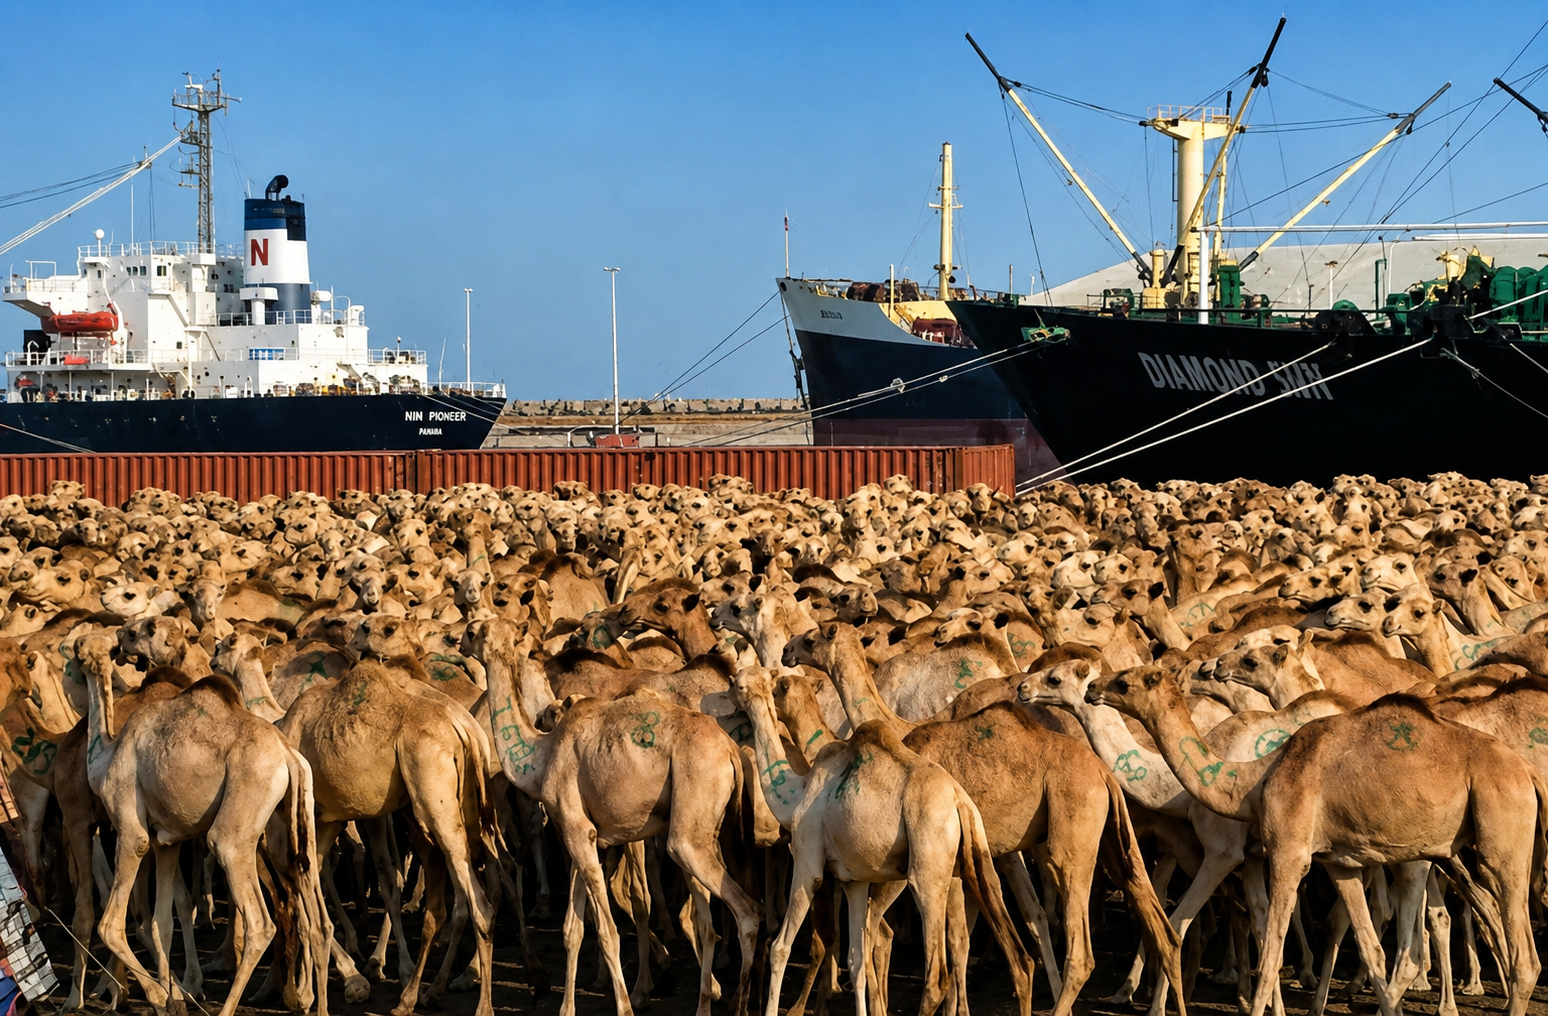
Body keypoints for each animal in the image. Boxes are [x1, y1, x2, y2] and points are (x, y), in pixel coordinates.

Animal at [1086, 665, 1548, 1016]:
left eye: (1124, 682)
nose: (1093, 688)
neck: (1251, 782)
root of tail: (1527, 773)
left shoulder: (1286, 853)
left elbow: (1270, 954)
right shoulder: (1340, 864)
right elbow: (1369, 948)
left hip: (1500, 837)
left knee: (1522, 954)